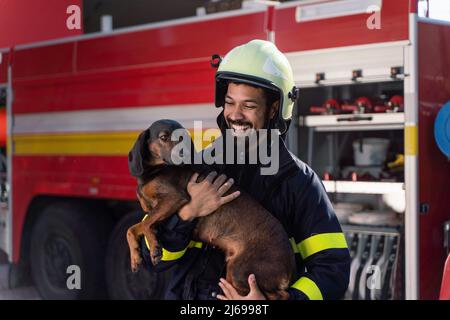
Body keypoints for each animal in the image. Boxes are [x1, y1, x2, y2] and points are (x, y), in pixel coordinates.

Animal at [126, 119, 296, 298]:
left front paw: (155, 248)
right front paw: (136, 256)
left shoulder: (173, 198)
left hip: (240, 271)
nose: (185, 155)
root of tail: (291, 266)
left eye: (184, 137)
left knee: (279, 295)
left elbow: (145, 224)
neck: (156, 170)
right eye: (164, 137)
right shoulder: (154, 210)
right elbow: (133, 228)